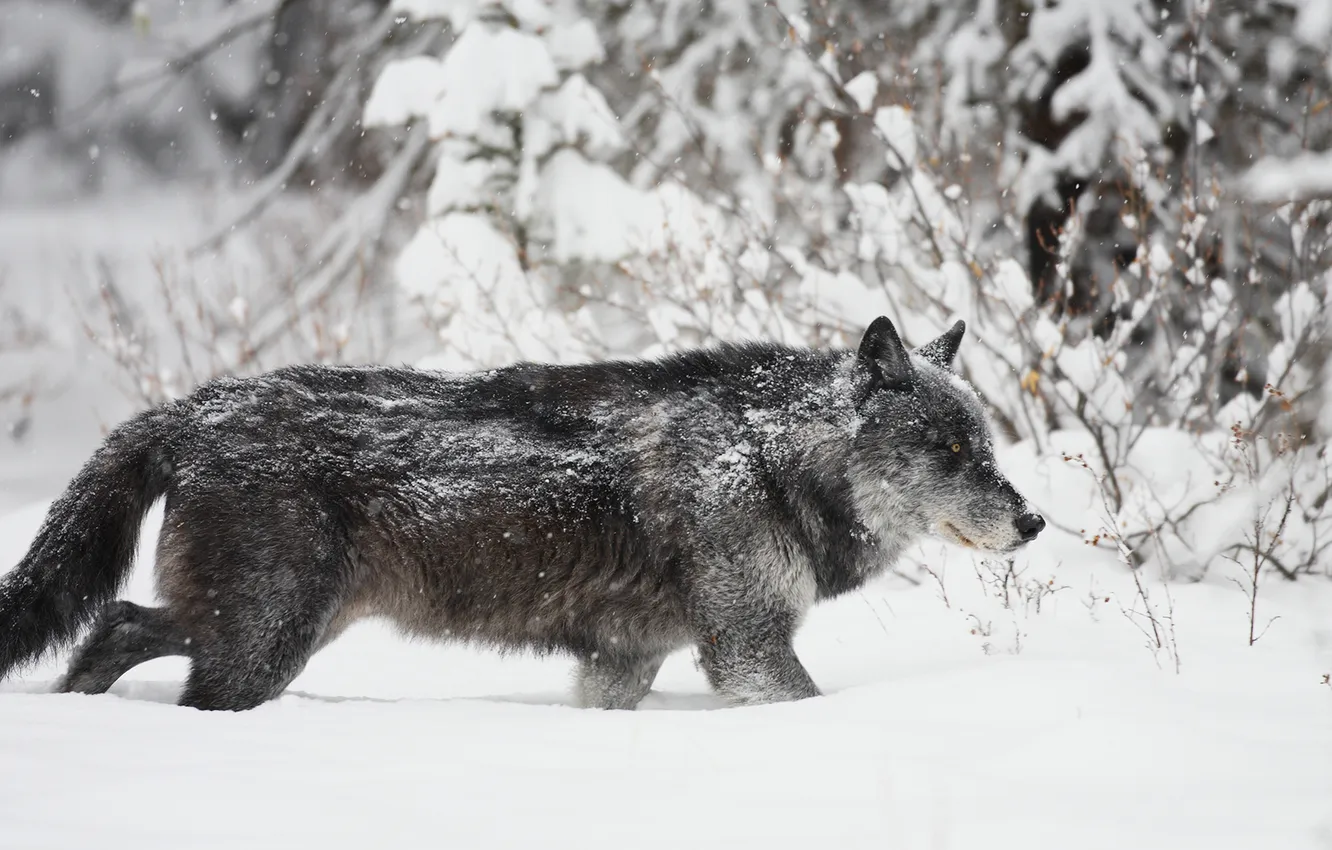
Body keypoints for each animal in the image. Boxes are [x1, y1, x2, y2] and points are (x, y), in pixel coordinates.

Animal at [0, 317, 1042, 711]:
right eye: (950, 452)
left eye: (986, 449)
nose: (1032, 524)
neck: (770, 458)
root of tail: (191, 408)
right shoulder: (746, 651)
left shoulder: (624, 663)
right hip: (266, 640)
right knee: (144, 642)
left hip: (266, 628)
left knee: (116, 623)